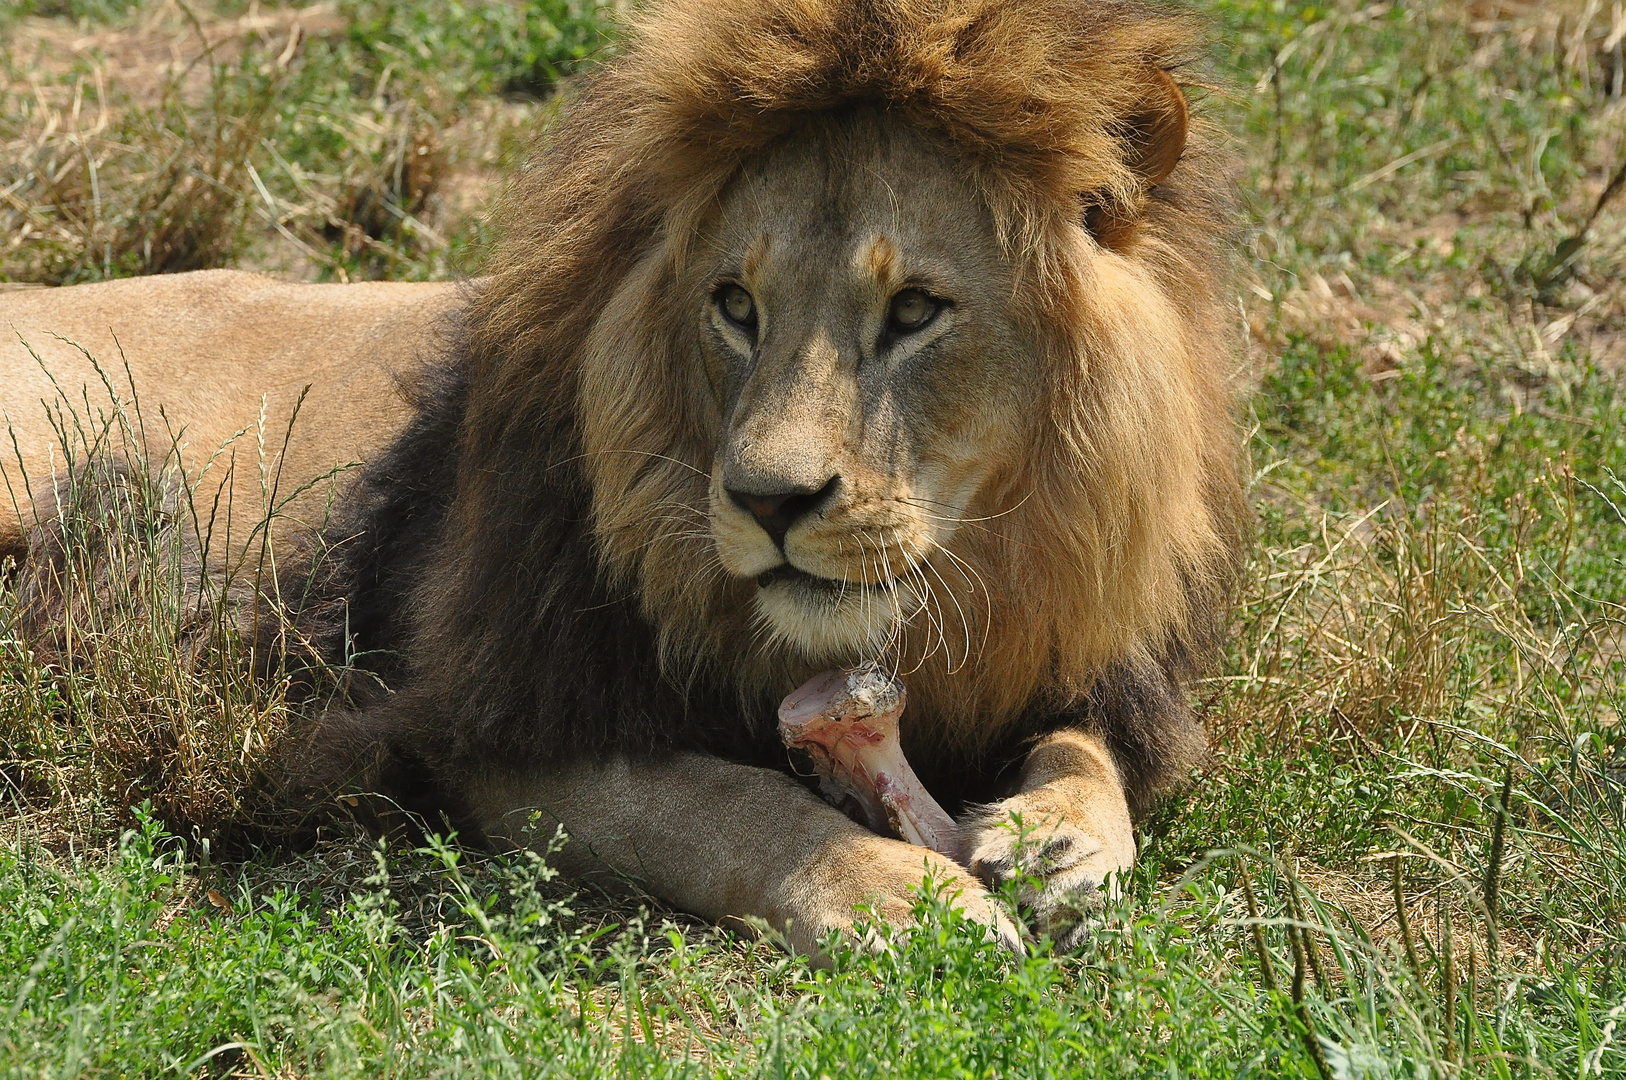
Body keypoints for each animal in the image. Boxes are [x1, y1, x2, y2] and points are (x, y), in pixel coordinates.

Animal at [0, 0, 1242, 956]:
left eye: (915, 311)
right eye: (735, 306)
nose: (768, 502)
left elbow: (1088, 745)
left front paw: (1063, 837)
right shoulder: (491, 732)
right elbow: (735, 800)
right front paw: (899, 893)